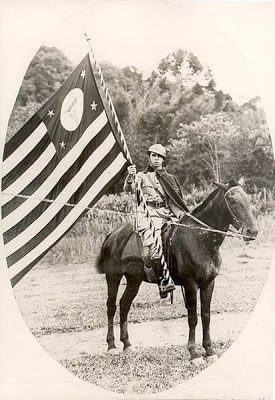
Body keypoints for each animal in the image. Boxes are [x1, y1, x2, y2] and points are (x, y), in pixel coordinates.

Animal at [95, 180, 258, 360]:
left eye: (248, 198)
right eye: (232, 200)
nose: (252, 231)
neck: (200, 238)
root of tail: (113, 235)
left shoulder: (209, 283)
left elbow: (206, 316)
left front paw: (209, 350)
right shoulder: (190, 285)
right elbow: (193, 317)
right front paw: (194, 353)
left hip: (133, 280)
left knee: (124, 305)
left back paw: (127, 344)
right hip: (113, 277)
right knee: (111, 306)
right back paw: (111, 345)